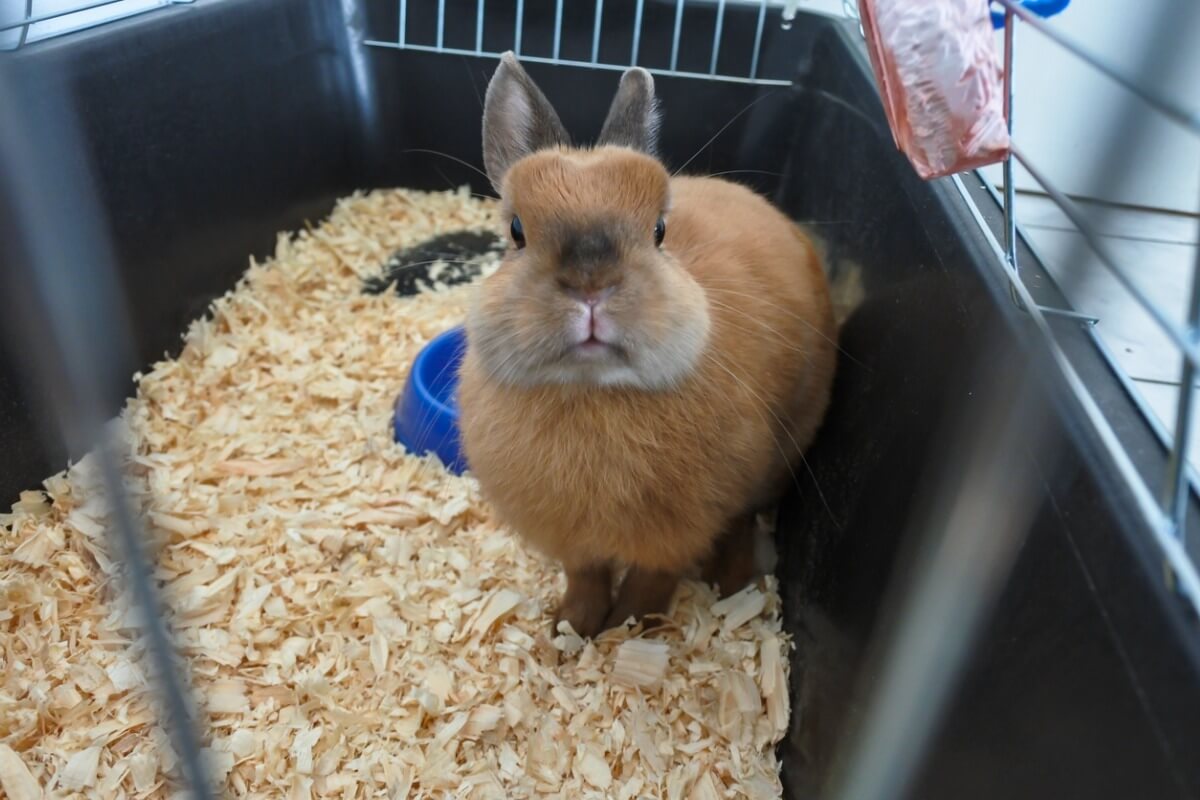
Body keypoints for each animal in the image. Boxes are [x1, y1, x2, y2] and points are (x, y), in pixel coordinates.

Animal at [457, 53, 837, 638]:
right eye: (517, 230)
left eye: (659, 230)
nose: (591, 285)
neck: (592, 392)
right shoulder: (575, 543)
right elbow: (585, 579)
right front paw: (569, 630)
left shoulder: (675, 535)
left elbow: (648, 586)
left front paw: (628, 632)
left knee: (741, 524)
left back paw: (733, 586)